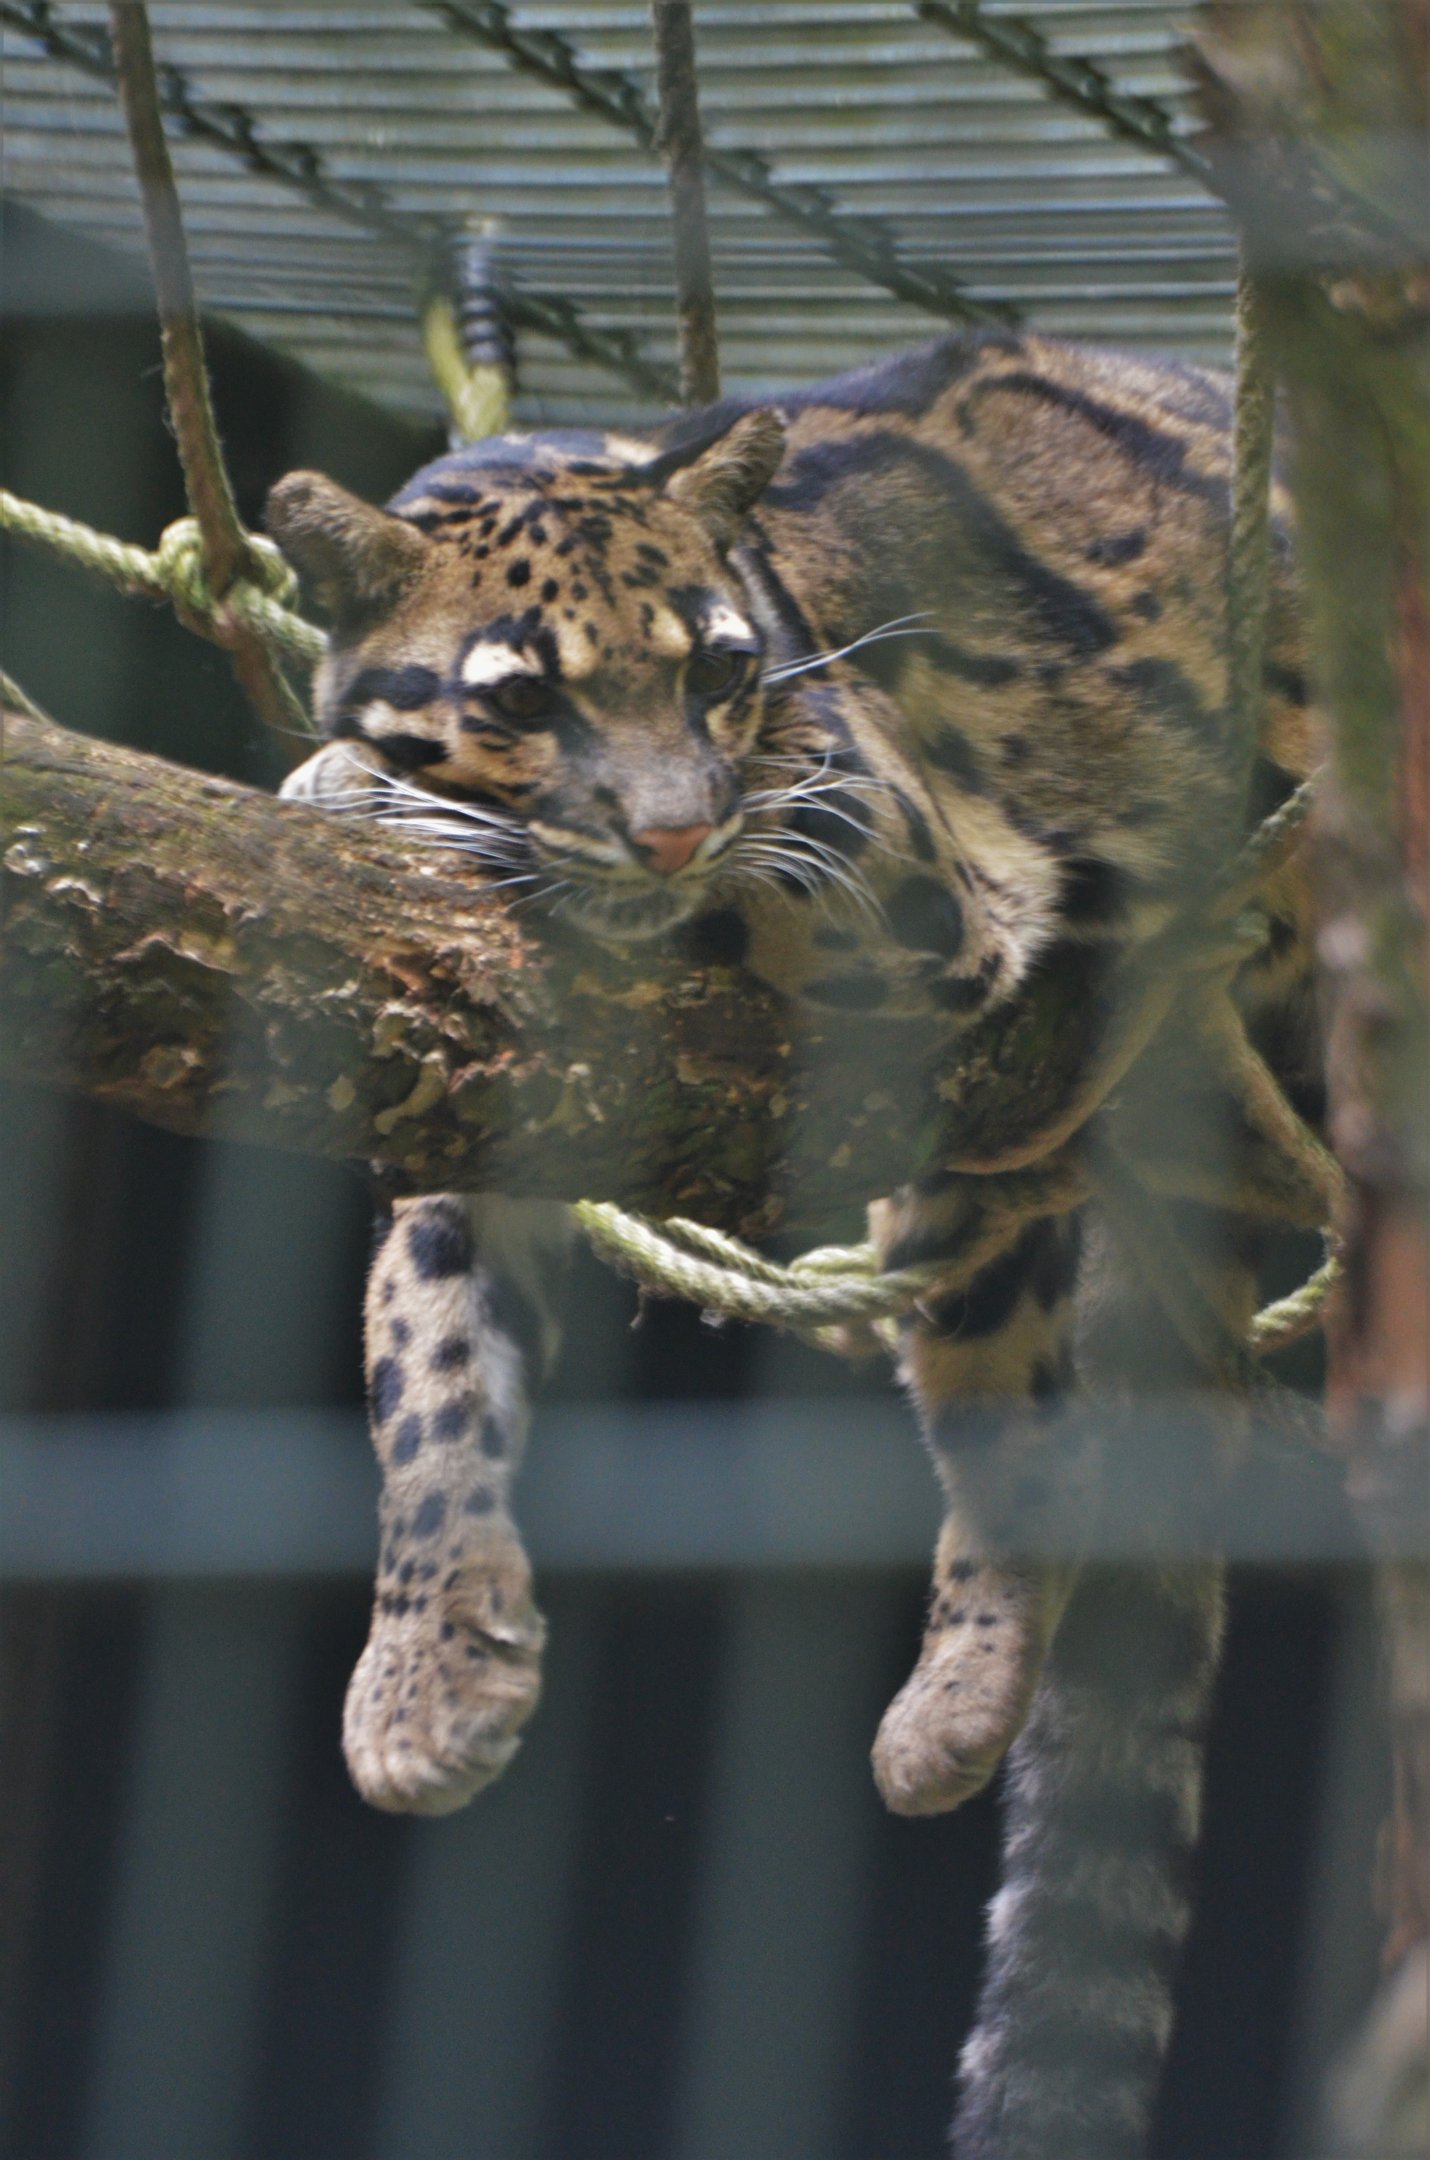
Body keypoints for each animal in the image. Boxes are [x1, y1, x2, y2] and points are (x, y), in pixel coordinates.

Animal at [265, 326, 1320, 2160]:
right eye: (520, 699)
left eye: (722, 673)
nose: (674, 827)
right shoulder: (489, 1105)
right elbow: (427, 1364)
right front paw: (426, 1674)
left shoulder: (898, 848)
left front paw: (362, 793)